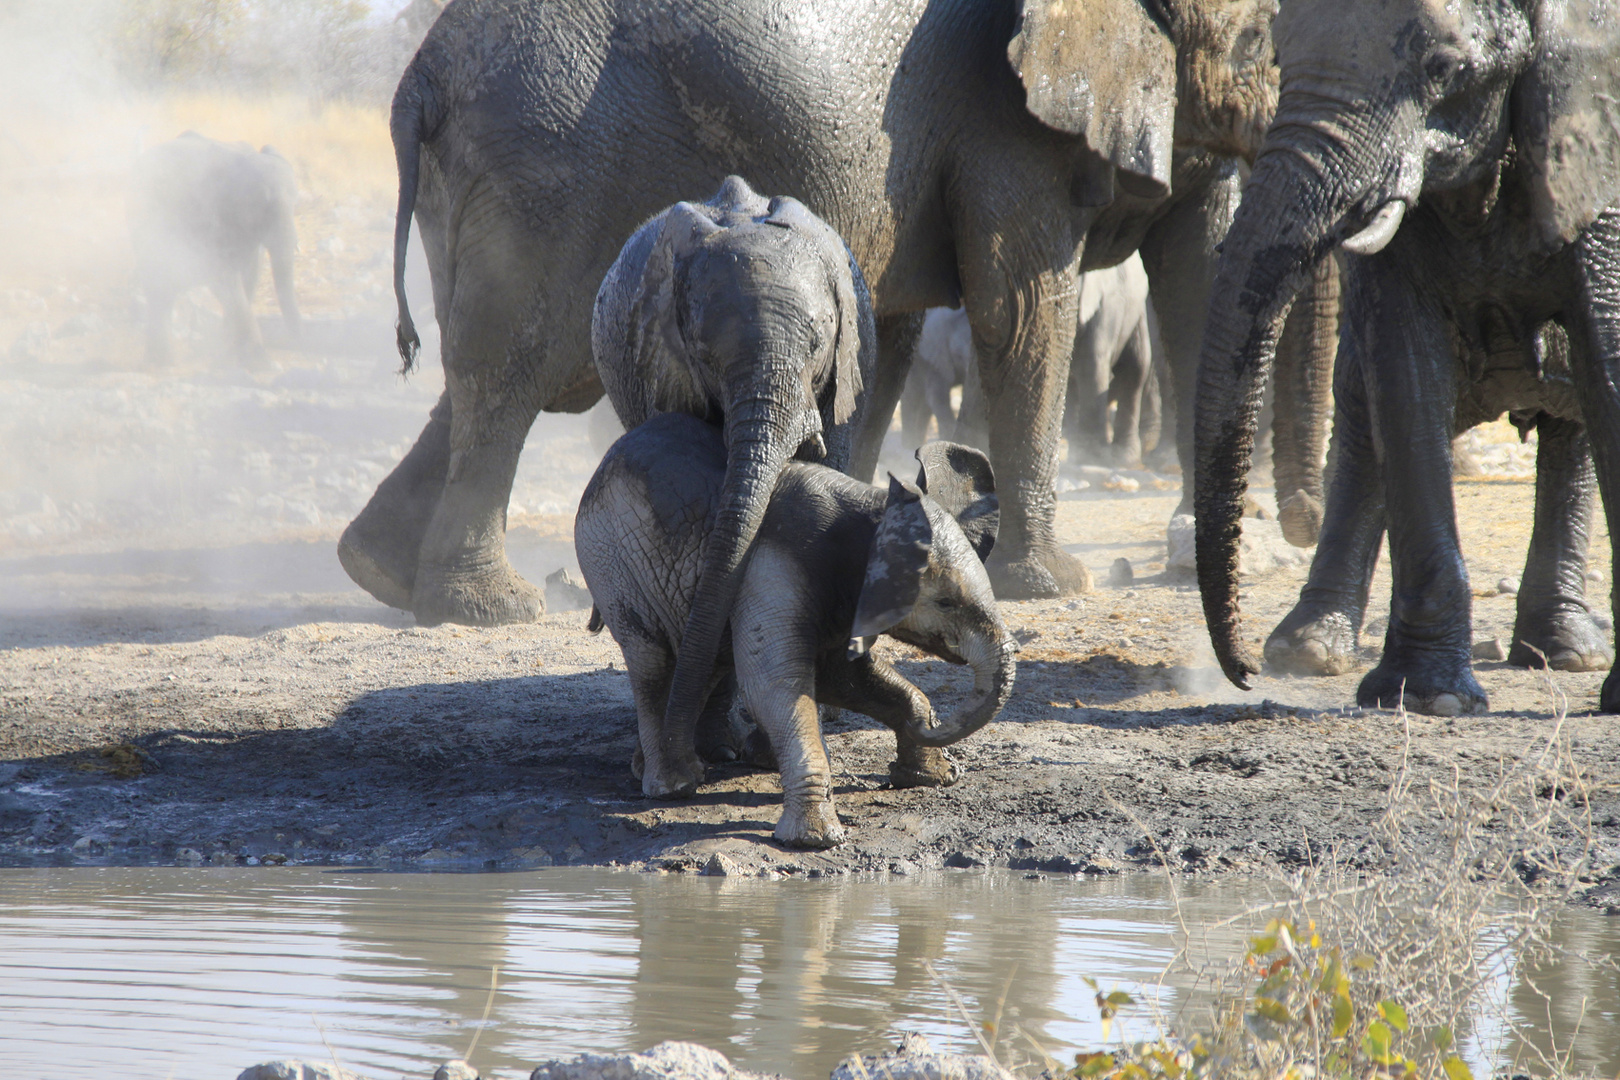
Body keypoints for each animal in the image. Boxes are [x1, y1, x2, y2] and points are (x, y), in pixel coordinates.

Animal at [129, 129, 301, 367]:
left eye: (296, 204)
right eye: (263, 206)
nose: (300, 343)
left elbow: (250, 277)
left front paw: (231, 358)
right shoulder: (208, 216)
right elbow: (225, 279)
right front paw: (262, 365)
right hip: (147, 226)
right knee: (159, 287)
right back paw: (162, 363)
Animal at [335, 0, 1283, 625]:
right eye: (1258, 39)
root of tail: (420, 76)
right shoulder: (1008, 121)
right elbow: (1019, 308)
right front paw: (1054, 586)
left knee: (494, 369)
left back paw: (381, 573)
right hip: (545, 157)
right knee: (516, 370)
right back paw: (490, 609)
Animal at [576, 414, 1017, 854]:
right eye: (945, 603)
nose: (936, 725)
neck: (870, 508)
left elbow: (841, 677)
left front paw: (934, 777)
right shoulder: (772, 569)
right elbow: (776, 685)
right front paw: (815, 840)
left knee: (700, 660)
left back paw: (670, 770)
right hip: (610, 562)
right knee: (651, 661)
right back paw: (672, 786)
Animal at [1192, 0, 1620, 712]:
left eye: (1444, 69)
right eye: (1278, 57)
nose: (1243, 673)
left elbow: (1606, 360)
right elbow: (1405, 377)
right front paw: (1427, 699)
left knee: (1571, 421)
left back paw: (1566, 653)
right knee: (1364, 422)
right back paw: (1306, 652)